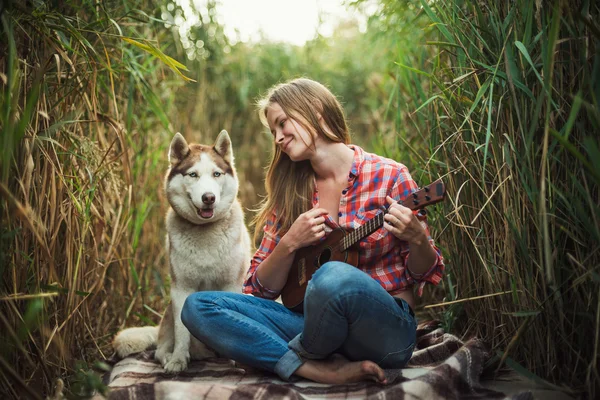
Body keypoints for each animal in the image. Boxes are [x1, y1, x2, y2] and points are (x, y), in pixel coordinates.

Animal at [112, 130, 251, 372]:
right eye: (193, 174)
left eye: (216, 174)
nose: (208, 197)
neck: (205, 232)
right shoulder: (181, 289)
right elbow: (182, 331)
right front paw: (177, 360)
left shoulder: (232, 284)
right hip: (168, 314)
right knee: (159, 349)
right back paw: (172, 356)